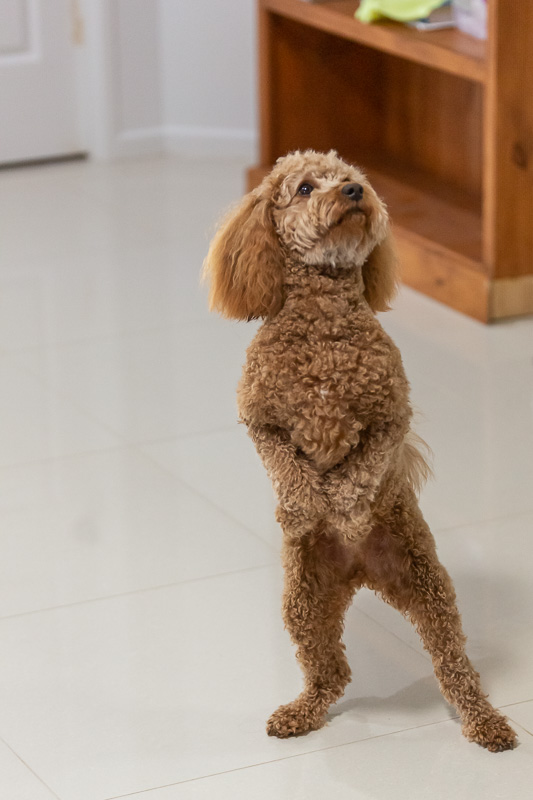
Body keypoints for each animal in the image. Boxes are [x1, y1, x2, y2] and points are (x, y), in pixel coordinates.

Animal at [203, 148, 516, 752]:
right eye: (305, 187)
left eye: (353, 179)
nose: (352, 193)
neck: (324, 321)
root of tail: (359, 571)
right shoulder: (260, 419)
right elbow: (289, 470)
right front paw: (305, 506)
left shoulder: (391, 418)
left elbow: (362, 470)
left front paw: (346, 508)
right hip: (303, 600)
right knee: (331, 672)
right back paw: (300, 713)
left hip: (428, 586)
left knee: (456, 669)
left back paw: (486, 723)